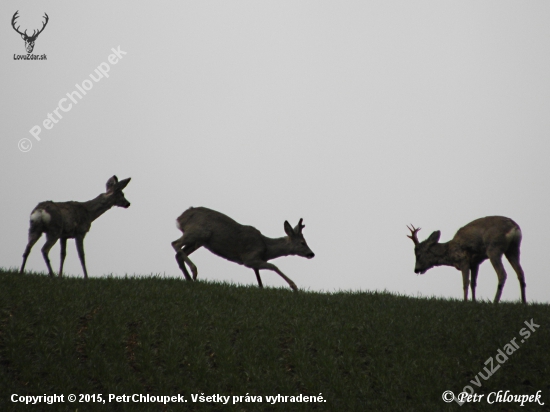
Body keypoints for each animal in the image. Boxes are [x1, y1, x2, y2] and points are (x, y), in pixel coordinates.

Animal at [172, 206, 320, 290]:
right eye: (302, 242)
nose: (311, 253)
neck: (266, 248)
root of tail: (180, 218)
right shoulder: (249, 258)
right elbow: (273, 266)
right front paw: (294, 286)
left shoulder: (255, 261)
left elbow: (259, 278)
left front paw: (261, 288)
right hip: (198, 232)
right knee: (175, 244)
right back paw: (194, 271)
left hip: (200, 241)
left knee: (179, 253)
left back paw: (189, 278)